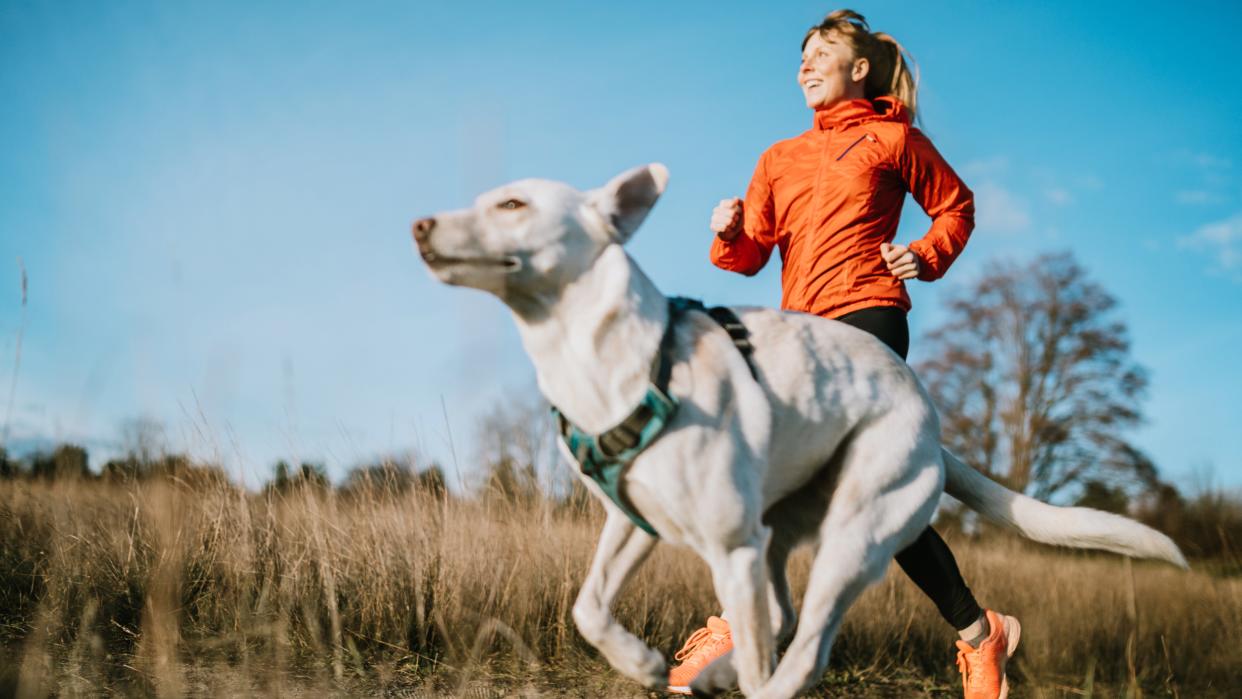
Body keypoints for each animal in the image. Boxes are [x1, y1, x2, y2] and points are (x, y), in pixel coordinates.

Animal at [412, 165, 1187, 699]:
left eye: (513, 205)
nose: (418, 225)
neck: (604, 355)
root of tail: (929, 417)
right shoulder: (634, 522)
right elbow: (589, 609)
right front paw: (642, 662)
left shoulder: (729, 545)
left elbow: (762, 648)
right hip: (778, 530)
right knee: (778, 616)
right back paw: (713, 670)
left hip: (853, 537)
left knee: (803, 648)